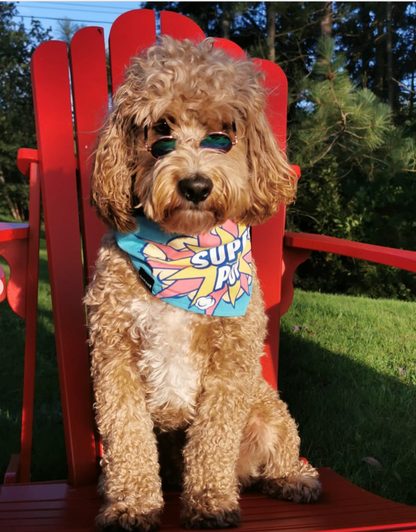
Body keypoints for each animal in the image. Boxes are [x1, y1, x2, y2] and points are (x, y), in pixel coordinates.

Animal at [85, 37, 322, 532]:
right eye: (160, 130)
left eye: (223, 134)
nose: (195, 185)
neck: (186, 252)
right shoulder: (114, 355)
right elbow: (127, 437)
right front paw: (133, 504)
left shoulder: (231, 363)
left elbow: (213, 441)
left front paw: (211, 501)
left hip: (270, 410)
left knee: (282, 453)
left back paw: (293, 480)